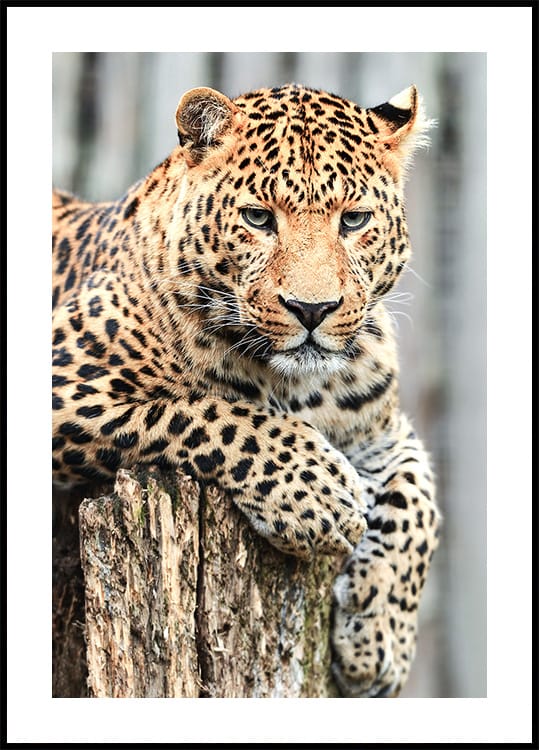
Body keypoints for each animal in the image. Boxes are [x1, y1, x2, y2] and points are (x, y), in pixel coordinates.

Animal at [52, 82, 441, 698]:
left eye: (354, 220)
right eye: (259, 217)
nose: (313, 309)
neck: (299, 383)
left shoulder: (384, 431)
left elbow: (416, 504)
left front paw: (380, 643)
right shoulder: (67, 377)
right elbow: (208, 412)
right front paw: (319, 497)